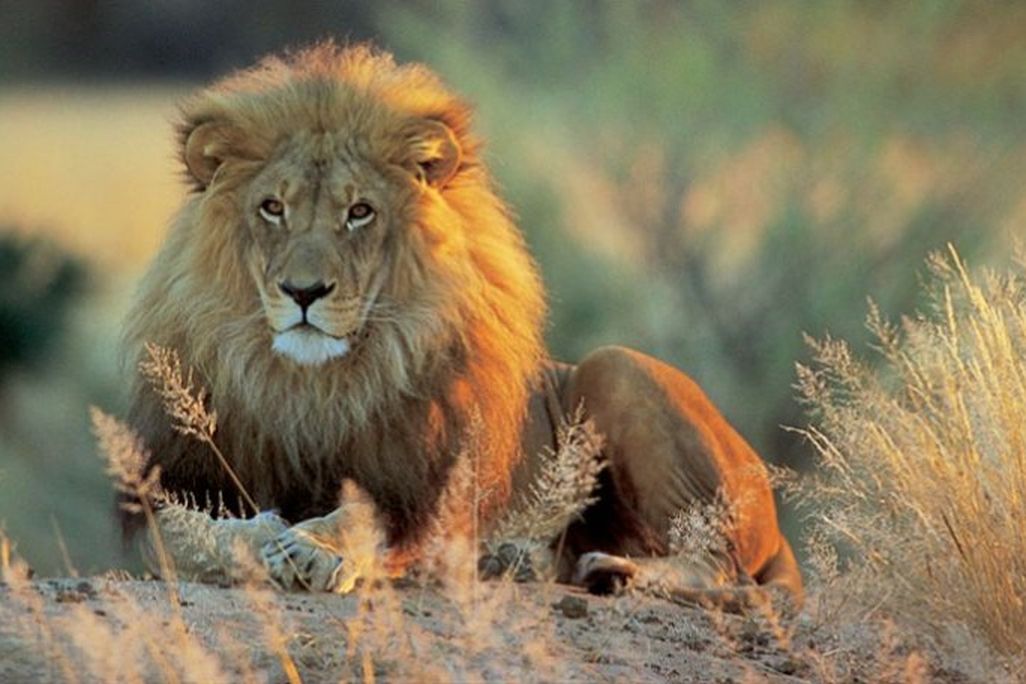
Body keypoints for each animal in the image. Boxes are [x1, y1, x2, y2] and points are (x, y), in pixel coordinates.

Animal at [121, 42, 803, 610]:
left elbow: (364, 520)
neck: (319, 386)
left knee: (721, 566)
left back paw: (607, 569)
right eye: (272, 208)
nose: (304, 292)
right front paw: (261, 538)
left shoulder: (431, 500)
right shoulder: (163, 495)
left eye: (359, 212)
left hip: (616, 368)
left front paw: (315, 547)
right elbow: (181, 535)